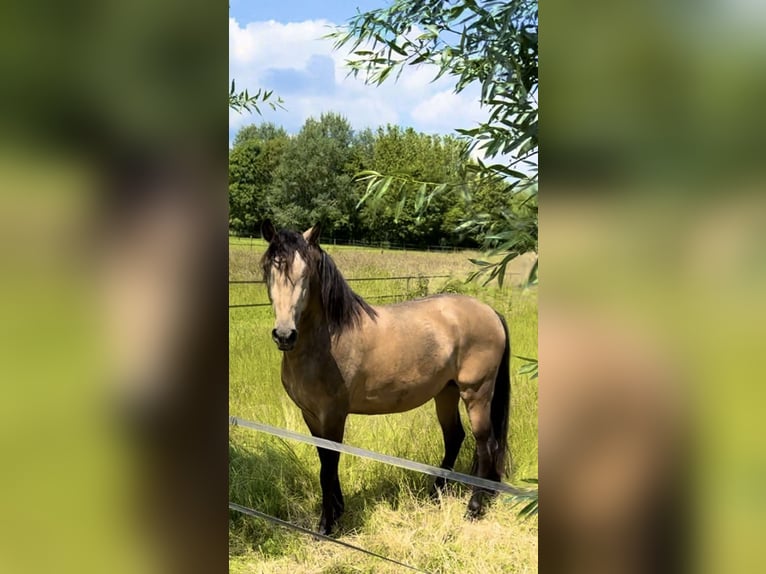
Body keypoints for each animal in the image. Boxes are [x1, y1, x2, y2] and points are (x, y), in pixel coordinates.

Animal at [260, 220, 512, 536]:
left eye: (306, 274)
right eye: (269, 271)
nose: (284, 335)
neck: (329, 339)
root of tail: (490, 312)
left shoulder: (333, 415)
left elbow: (329, 464)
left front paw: (327, 525)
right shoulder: (311, 415)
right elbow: (324, 460)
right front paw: (337, 511)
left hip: (476, 393)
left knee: (485, 443)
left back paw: (474, 508)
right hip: (446, 392)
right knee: (454, 437)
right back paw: (436, 493)